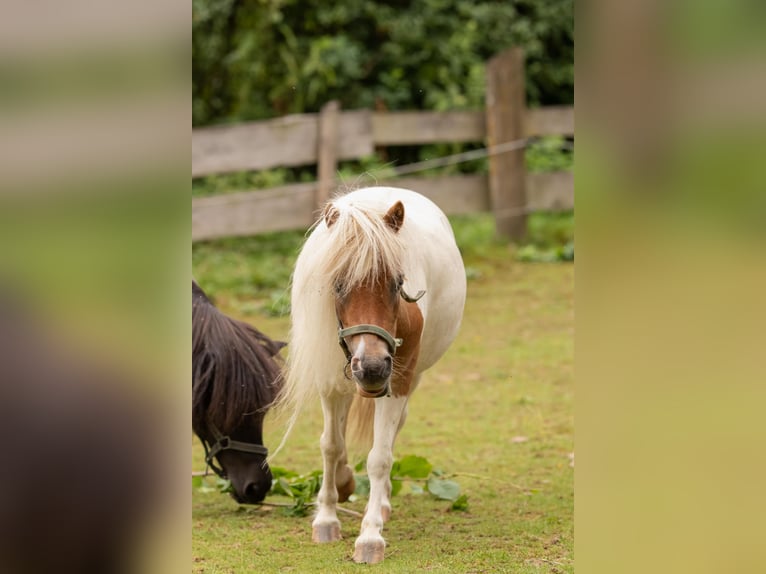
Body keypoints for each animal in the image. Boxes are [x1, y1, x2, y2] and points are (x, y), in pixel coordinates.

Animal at [278, 187, 464, 564]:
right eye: (338, 284)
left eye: (397, 283)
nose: (374, 367)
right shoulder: (330, 381)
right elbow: (330, 445)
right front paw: (326, 517)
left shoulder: (399, 380)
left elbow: (380, 457)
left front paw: (370, 535)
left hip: (410, 376)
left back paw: (383, 503)